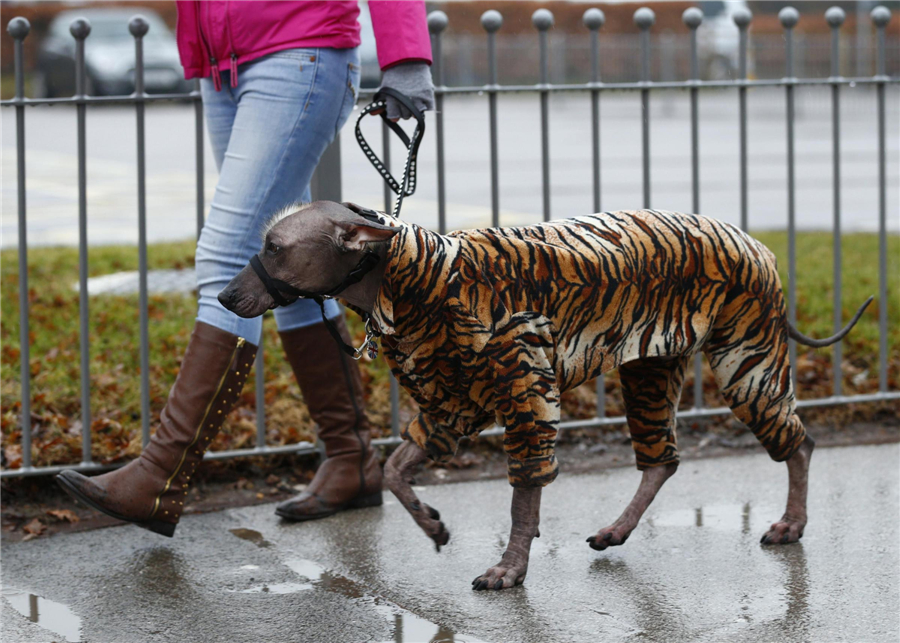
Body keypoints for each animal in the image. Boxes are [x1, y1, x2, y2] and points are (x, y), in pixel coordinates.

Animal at [220, 203, 872, 592]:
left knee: (799, 443)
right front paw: (432, 525)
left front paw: (511, 567)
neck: (417, 281)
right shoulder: (449, 409)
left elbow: (523, 496)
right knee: (661, 460)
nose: (223, 297)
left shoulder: (526, 392)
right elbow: (393, 472)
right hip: (649, 369)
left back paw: (791, 523)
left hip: (746, 364)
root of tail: (750, 239)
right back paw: (617, 530)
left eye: (274, 247)